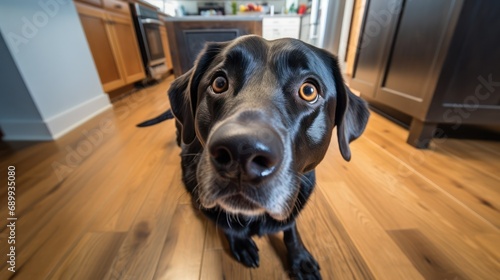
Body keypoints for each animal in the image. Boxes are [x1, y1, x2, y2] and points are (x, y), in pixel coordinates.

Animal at [139, 35, 370, 278]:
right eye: (219, 83)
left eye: (309, 90)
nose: (241, 150)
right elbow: (227, 225)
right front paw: (240, 242)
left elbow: (290, 227)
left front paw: (299, 257)